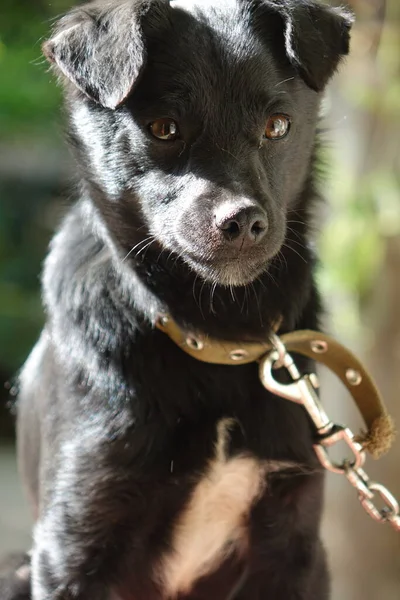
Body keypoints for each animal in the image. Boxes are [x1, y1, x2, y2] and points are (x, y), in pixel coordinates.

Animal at [2, 0, 354, 596]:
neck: (214, 335)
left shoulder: (294, 543)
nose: (243, 223)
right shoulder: (72, 551)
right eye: (164, 128)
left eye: (278, 126)